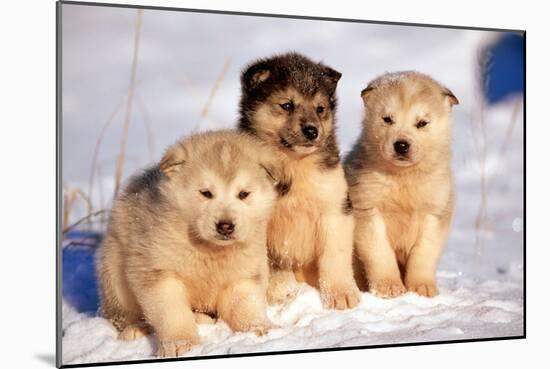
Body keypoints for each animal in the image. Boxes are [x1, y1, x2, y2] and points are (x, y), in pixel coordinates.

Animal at [96, 130, 282, 356]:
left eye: (243, 194)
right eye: (206, 193)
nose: (225, 226)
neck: (210, 251)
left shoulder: (243, 275)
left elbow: (246, 305)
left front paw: (261, 330)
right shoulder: (158, 271)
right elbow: (172, 313)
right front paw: (181, 345)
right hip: (113, 273)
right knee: (122, 315)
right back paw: (136, 330)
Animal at [238, 53, 362, 310]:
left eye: (320, 108)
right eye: (287, 105)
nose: (312, 131)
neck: (293, 165)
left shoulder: (335, 207)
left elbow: (335, 256)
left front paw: (341, 295)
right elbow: (271, 262)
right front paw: (280, 290)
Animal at [350, 71, 462, 296]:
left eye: (422, 123)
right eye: (387, 119)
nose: (401, 145)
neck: (404, 178)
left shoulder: (435, 212)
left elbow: (423, 253)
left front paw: (422, 288)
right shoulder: (368, 208)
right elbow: (380, 252)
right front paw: (388, 287)